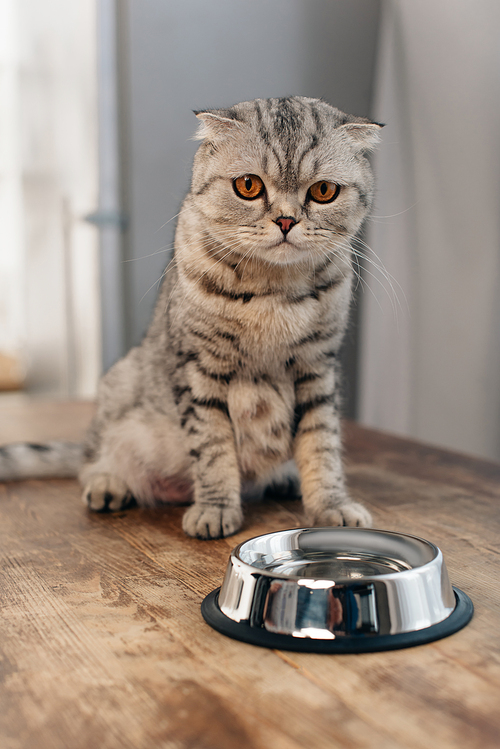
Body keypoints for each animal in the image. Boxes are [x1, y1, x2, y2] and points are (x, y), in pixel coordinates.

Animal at [0, 96, 378, 536]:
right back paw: (109, 484)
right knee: (90, 460)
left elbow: (322, 445)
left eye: (323, 191)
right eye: (248, 186)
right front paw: (215, 508)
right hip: (119, 388)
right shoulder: (199, 368)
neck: (273, 290)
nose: (286, 220)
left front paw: (332, 505)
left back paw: (283, 478)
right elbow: (213, 448)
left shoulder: (318, 367)